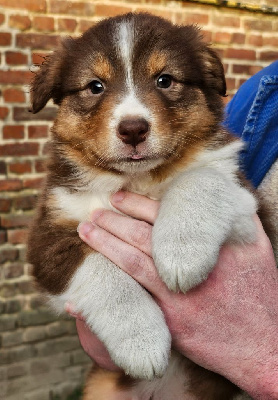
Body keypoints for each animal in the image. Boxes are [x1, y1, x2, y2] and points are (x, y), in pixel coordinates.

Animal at [28, 13, 268, 400]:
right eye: (95, 86)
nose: (133, 130)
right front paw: (143, 344)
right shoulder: (50, 232)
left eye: (165, 80)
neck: (139, 179)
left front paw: (181, 256)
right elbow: (104, 273)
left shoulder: (249, 202)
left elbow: (201, 178)